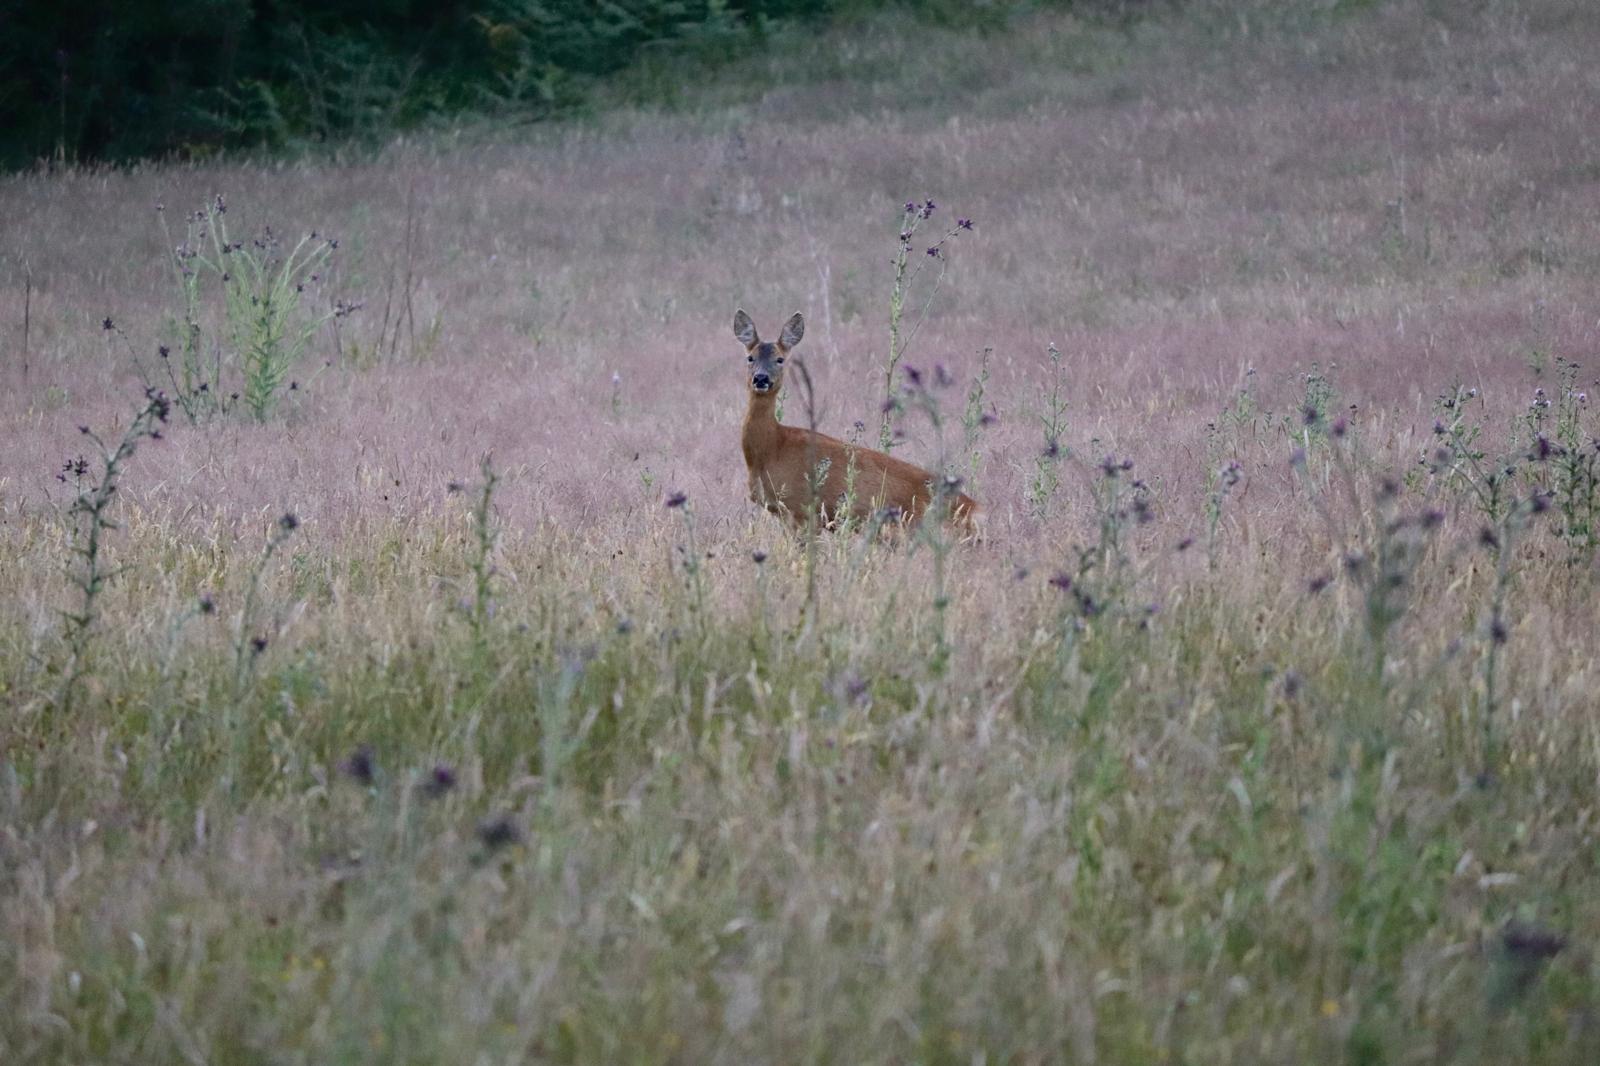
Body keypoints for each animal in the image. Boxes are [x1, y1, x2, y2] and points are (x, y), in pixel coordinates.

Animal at [734, 309, 981, 540]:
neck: (772, 448)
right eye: (750, 357)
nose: (761, 379)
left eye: (780, 359)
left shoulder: (803, 509)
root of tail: (974, 509)